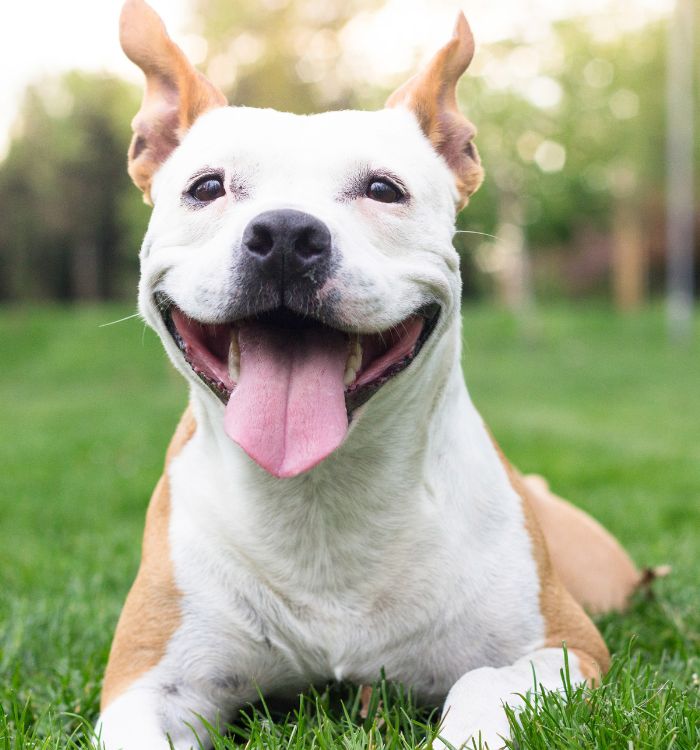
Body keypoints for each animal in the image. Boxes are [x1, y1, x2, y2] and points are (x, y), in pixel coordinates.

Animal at [95, 2, 648, 748]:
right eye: (206, 187)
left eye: (383, 189)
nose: (286, 234)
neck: (321, 496)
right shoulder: (145, 682)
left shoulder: (562, 648)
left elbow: (481, 686)